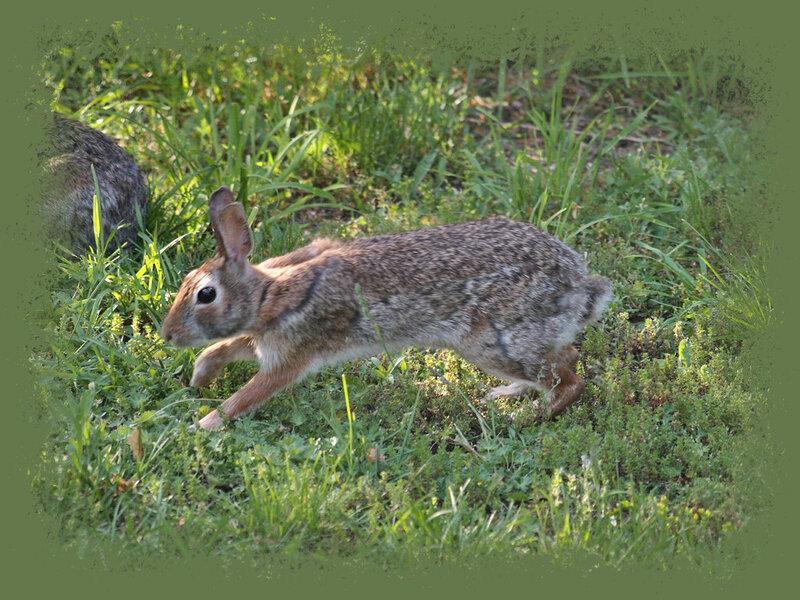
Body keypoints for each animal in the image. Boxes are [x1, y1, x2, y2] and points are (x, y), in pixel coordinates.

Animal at [161, 186, 613, 431]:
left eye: (205, 295)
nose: (167, 335)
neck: (266, 296)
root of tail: (579, 286)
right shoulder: (261, 337)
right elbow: (221, 348)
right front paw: (200, 378)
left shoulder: (288, 357)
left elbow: (243, 398)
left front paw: (201, 426)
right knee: (564, 359)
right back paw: (507, 394)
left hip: (493, 342)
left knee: (570, 380)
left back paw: (525, 416)